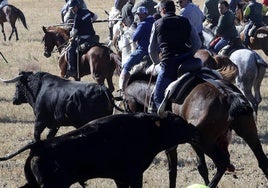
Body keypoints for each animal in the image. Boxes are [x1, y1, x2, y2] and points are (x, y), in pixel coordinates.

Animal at [0, 112, 199, 187]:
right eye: (178, 123)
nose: (194, 129)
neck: (150, 129)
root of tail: (39, 145)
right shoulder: (134, 175)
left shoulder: (121, 178)